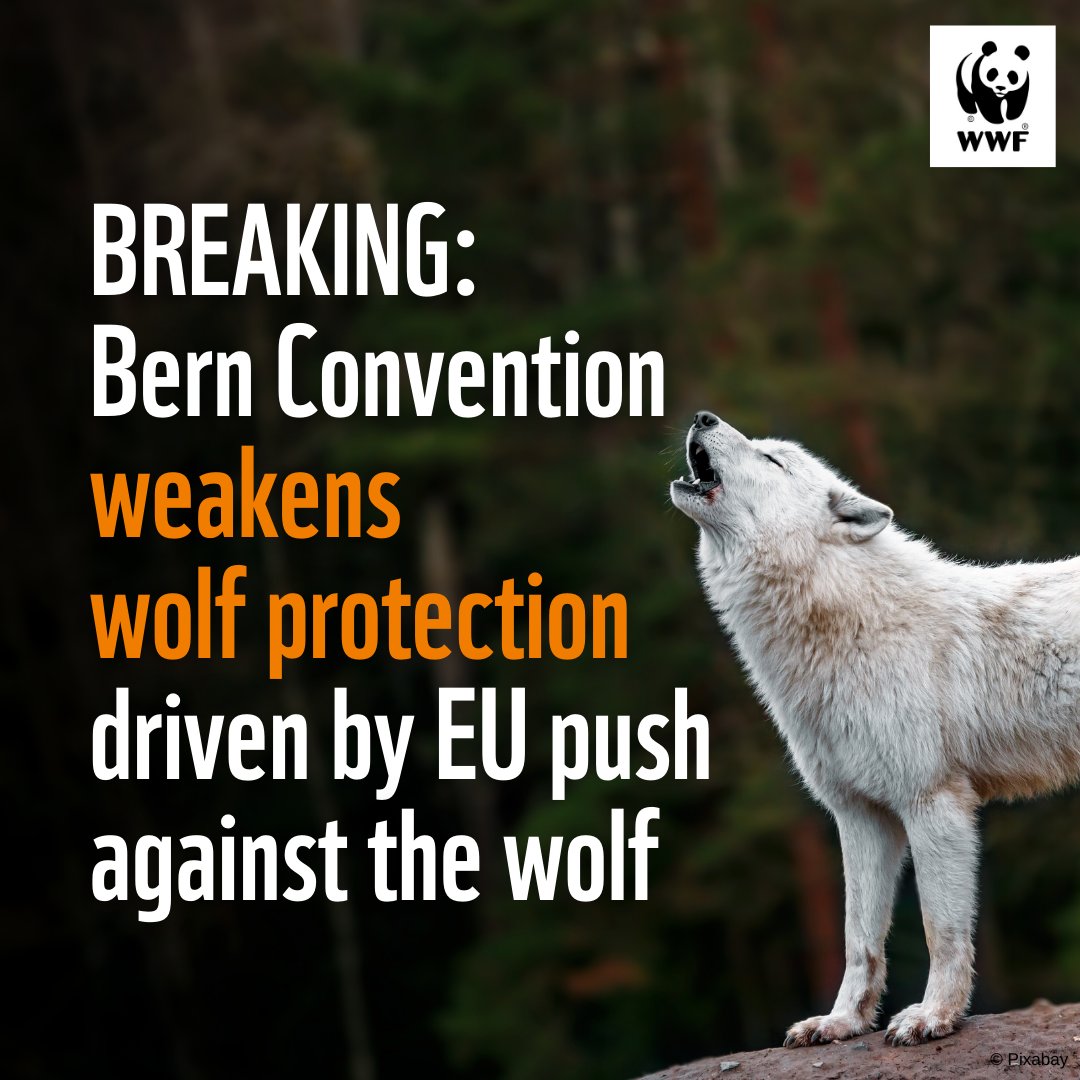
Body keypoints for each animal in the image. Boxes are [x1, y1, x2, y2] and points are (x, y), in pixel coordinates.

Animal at [670, 411, 1080, 1047]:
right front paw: (842, 1022)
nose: (702, 416)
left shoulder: (933, 803)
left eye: (772, 459)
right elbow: (858, 938)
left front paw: (934, 1017)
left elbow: (940, 930)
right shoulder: (859, 815)